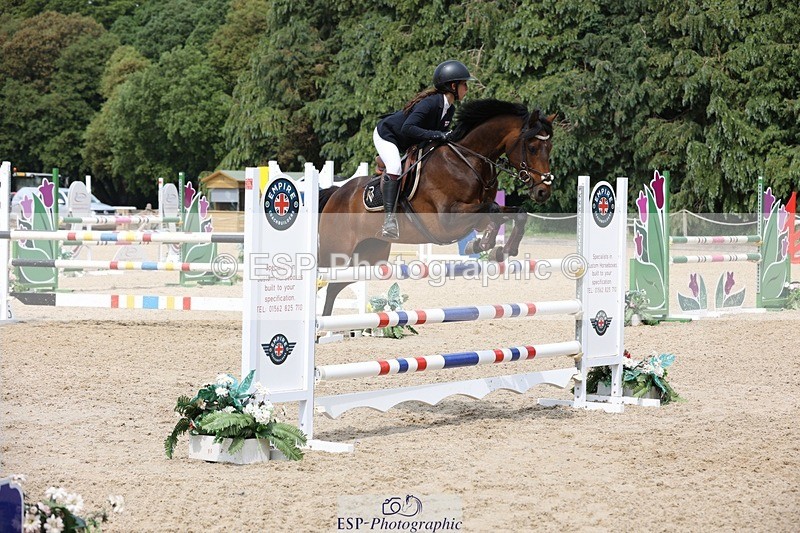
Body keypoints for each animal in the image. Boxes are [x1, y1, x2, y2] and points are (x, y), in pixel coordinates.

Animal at [318, 98, 556, 316]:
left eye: (550, 147)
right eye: (532, 148)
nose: (543, 191)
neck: (468, 160)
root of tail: (337, 193)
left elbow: (515, 213)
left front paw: (502, 250)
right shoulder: (447, 221)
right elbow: (493, 210)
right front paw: (482, 244)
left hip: (368, 256)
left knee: (334, 287)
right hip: (336, 252)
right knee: (323, 280)